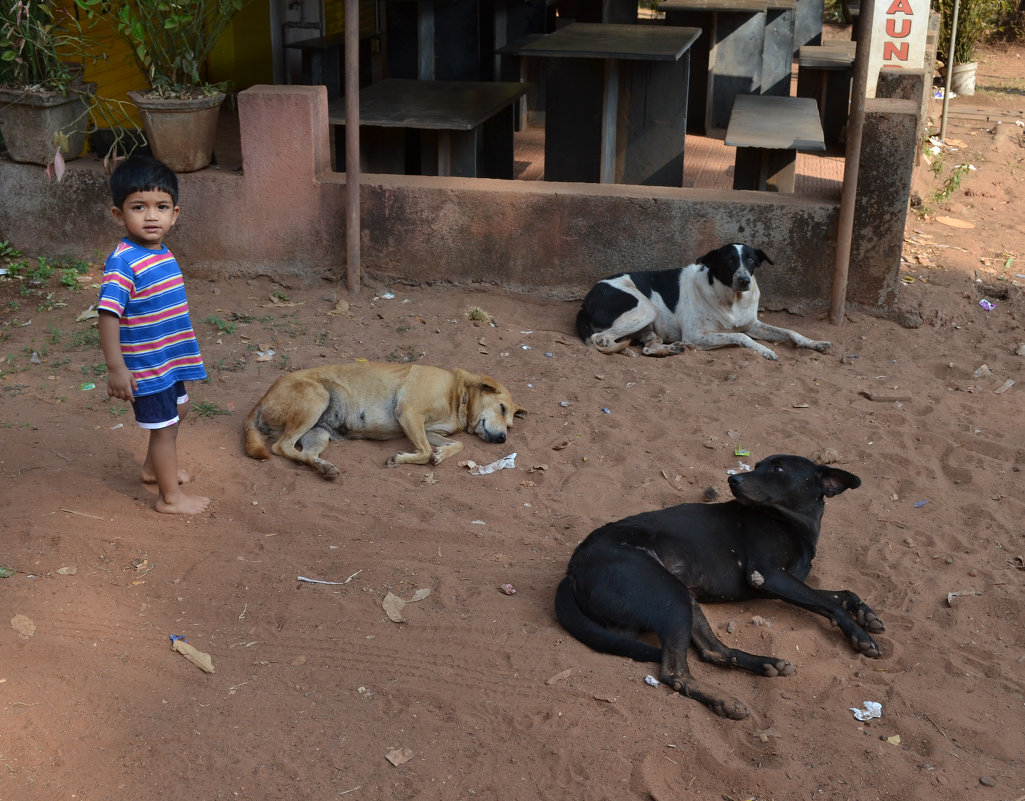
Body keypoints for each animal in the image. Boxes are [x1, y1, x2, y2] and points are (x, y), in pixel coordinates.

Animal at [243, 358, 524, 477]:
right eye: (501, 408)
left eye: (510, 424)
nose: (502, 439)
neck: (458, 396)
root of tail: (261, 400)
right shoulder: (408, 413)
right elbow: (423, 452)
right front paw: (402, 458)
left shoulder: (429, 429)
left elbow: (458, 443)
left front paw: (442, 454)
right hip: (316, 399)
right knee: (280, 447)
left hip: (318, 433)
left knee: (302, 453)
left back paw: (324, 468)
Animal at [557, 453, 885, 722]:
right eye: (757, 465)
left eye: (777, 468)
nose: (732, 479)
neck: (791, 523)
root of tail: (573, 567)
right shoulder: (767, 575)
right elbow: (829, 603)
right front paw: (860, 636)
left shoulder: (789, 580)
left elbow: (842, 594)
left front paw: (866, 614)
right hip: (670, 596)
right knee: (675, 674)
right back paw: (723, 700)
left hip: (682, 597)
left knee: (711, 651)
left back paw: (765, 664)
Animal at [578, 241, 832, 358]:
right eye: (729, 260)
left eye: (751, 260)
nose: (744, 280)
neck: (732, 300)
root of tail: (585, 303)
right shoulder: (696, 334)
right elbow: (740, 336)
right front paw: (764, 350)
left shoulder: (753, 324)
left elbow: (791, 332)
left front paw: (815, 343)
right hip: (646, 309)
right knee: (602, 339)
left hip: (649, 326)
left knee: (649, 348)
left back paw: (672, 348)